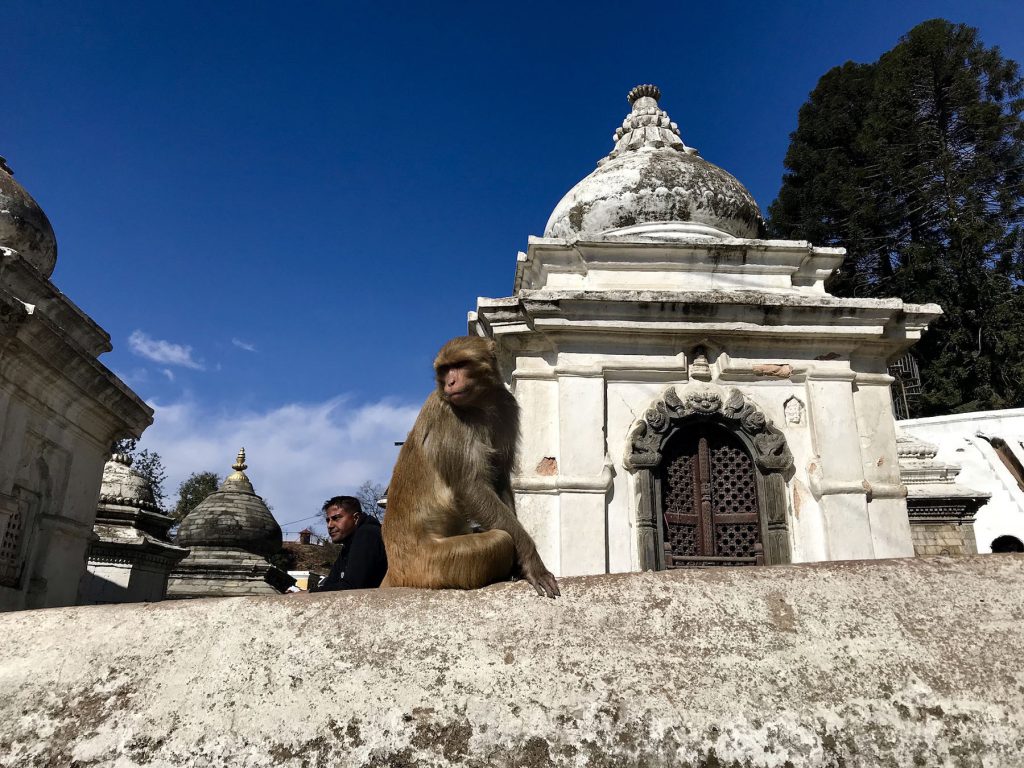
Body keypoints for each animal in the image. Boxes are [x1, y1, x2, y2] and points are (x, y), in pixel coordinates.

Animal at [382, 337, 561, 602]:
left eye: (460, 365)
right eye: (445, 369)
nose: (450, 382)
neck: (480, 404)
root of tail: (394, 566)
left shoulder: (507, 407)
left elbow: (499, 478)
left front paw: (520, 566)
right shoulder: (449, 417)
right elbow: (471, 487)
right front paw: (531, 561)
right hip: (431, 565)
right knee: (500, 540)